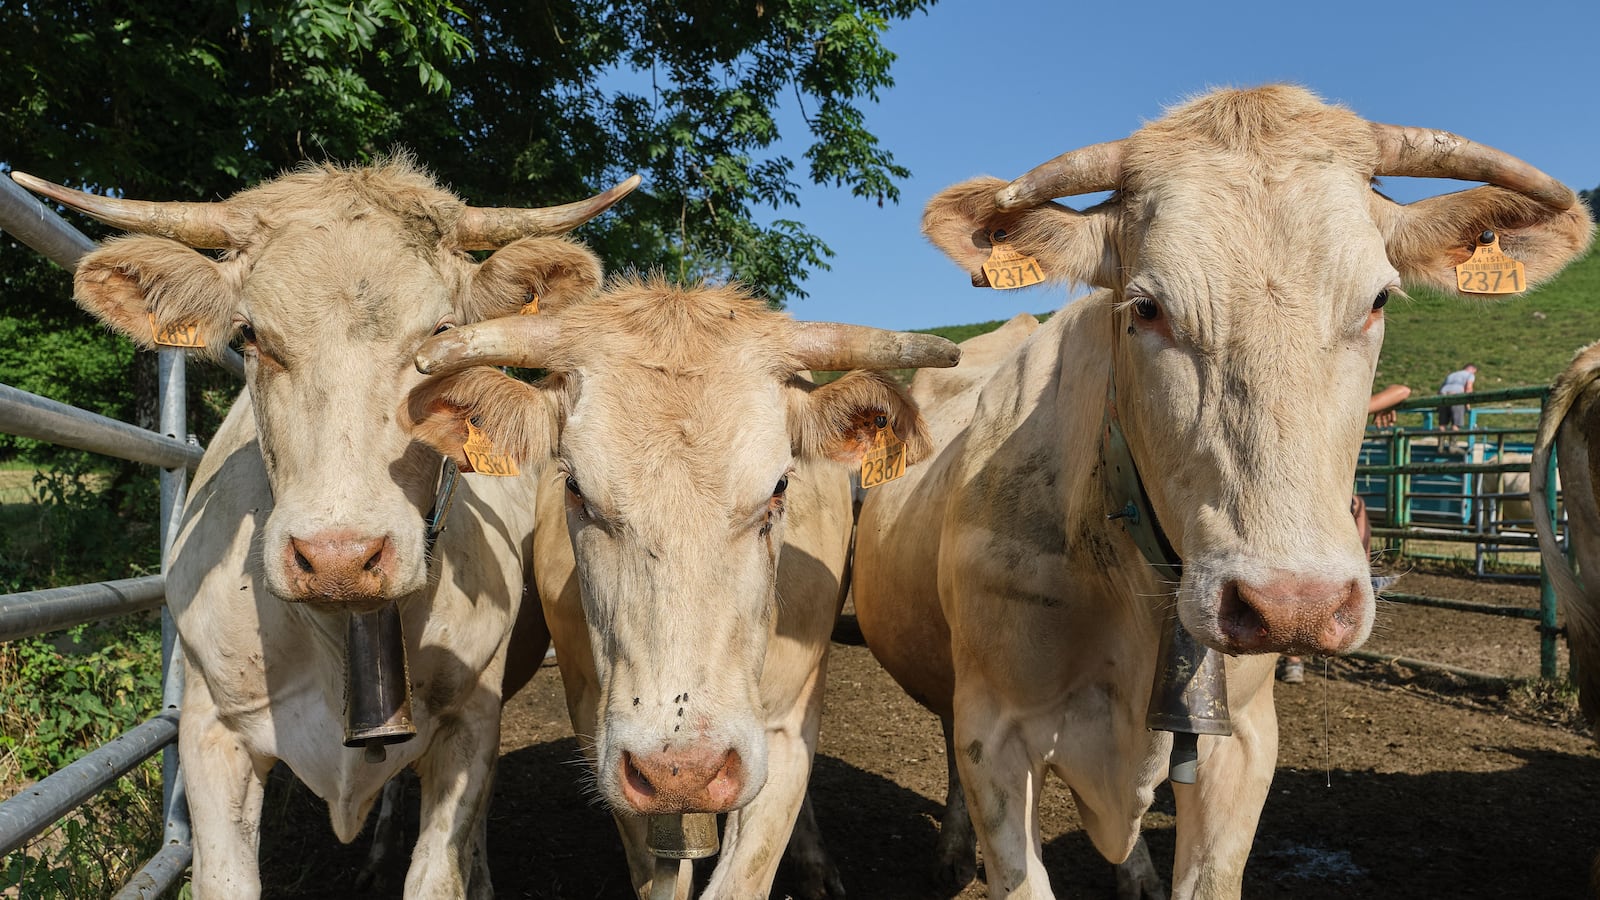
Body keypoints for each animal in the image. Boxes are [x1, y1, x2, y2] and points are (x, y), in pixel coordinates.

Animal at [12, 159, 633, 898]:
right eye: (249, 336)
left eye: (441, 335)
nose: (340, 557)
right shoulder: (211, 730)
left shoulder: (471, 725)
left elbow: (438, 870)